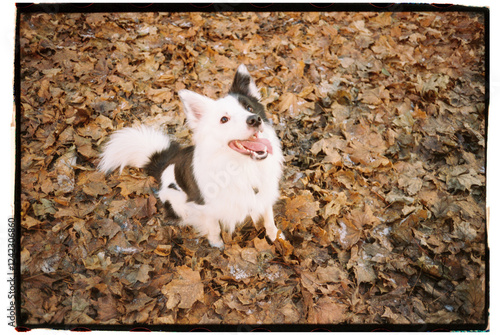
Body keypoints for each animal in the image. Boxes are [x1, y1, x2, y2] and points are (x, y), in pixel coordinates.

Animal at [97, 65, 284, 249]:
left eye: (250, 108)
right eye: (224, 119)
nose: (255, 119)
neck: (242, 166)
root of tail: (164, 164)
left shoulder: (265, 193)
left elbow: (268, 217)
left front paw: (275, 236)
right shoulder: (206, 206)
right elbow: (214, 226)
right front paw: (216, 243)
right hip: (176, 199)